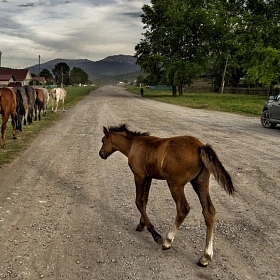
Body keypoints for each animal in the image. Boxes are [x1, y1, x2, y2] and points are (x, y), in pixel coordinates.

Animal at [99, 124, 235, 266]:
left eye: (103, 140)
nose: (101, 154)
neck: (133, 145)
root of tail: (200, 146)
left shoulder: (139, 176)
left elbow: (139, 201)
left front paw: (155, 234)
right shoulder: (149, 177)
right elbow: (145, 200)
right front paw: (141, 224)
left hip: (175, 184)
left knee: (183, 208)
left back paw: (168, 241)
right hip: (200, 182)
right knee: (209, 211)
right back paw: (206, 256)